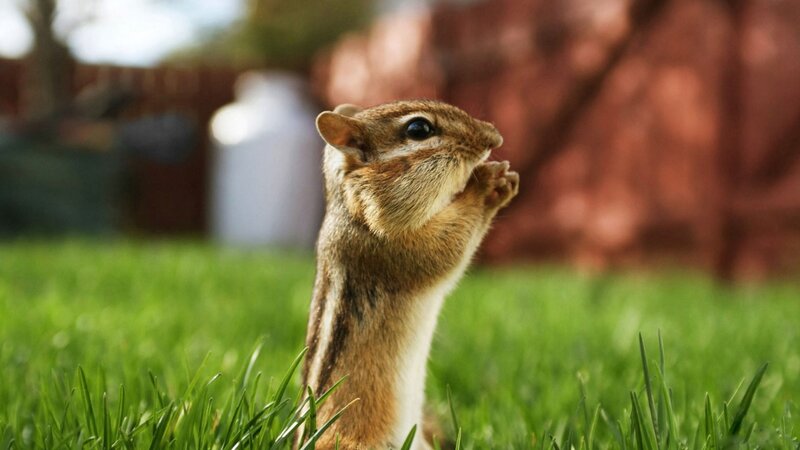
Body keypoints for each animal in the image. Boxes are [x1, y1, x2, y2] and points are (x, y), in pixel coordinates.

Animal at [298, 100, 519, 449]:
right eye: (419, 129)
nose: (494, 137)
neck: (352, 208)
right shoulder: (392, 246)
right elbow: (445, 252)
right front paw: (486, 185)